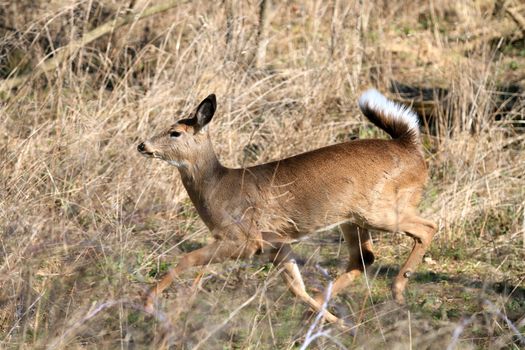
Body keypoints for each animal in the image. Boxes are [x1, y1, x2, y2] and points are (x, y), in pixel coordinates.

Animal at [137, 90, 436, 326]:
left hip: (379, 210)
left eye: (174, 132)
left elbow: (188, 259)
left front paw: (150, 304)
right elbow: (295, 287)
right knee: (364, 258)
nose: (142, 144)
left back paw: (398, 290)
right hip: (352, 220)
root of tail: (410, 146)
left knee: (428, 227)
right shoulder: (275, 243)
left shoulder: (244, 238)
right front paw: (337, 323)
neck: (218, 187)